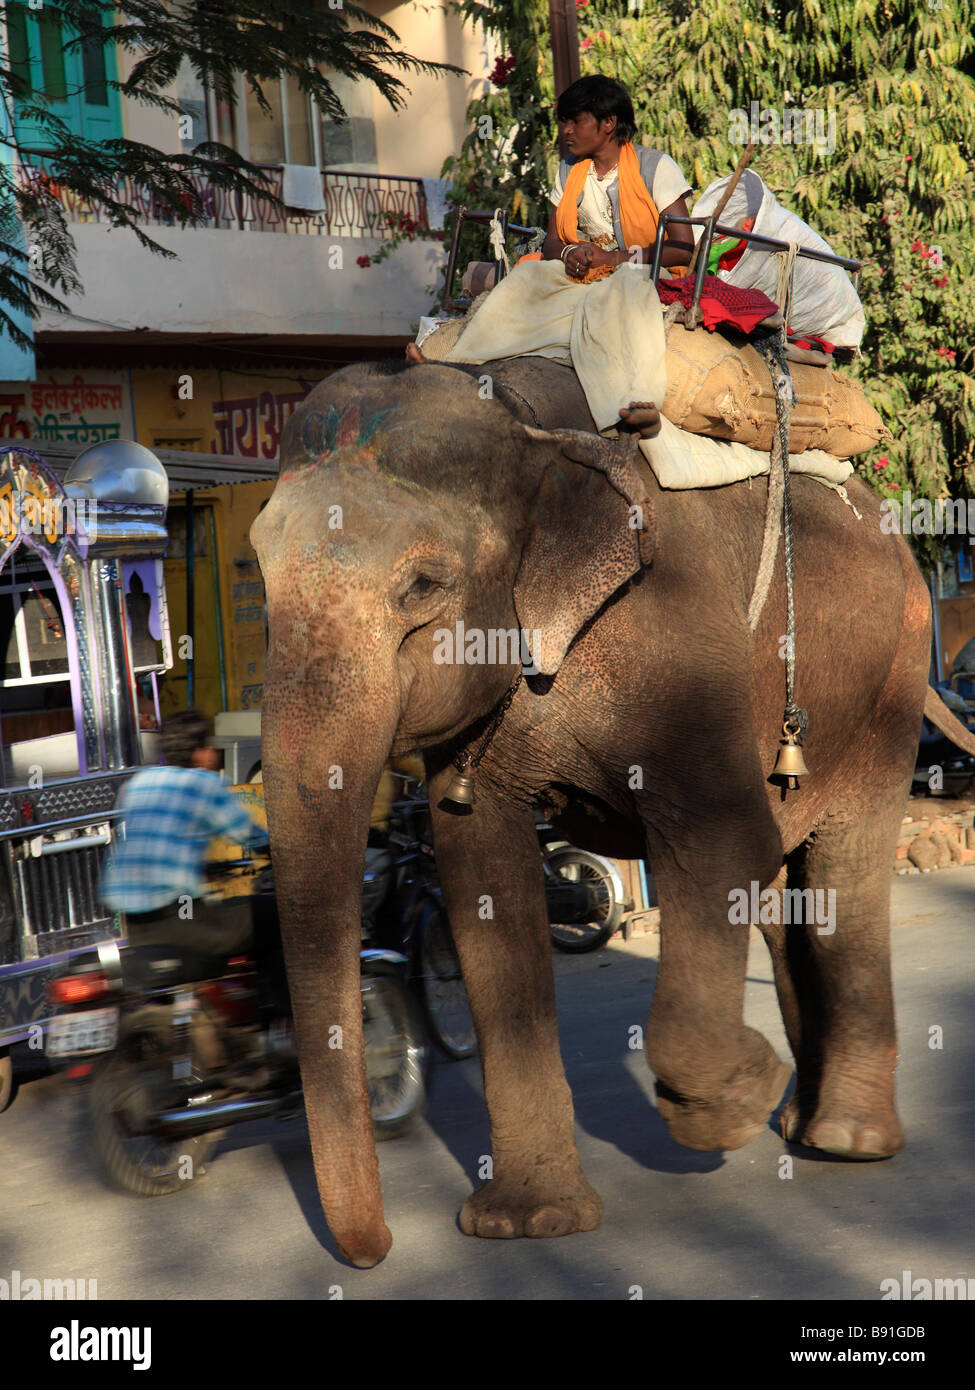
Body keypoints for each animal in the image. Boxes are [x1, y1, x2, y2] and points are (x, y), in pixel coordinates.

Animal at [250, 352, 933, 1269]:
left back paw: (844, 1139)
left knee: (841, 871)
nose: (374, 1250)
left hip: (894, 674)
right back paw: (800, 1120)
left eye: (421, 585)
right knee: (784, 886)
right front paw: (527, 1224)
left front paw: (736, 1098)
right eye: (257, 569)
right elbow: (478, 877)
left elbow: (721, 842)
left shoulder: (678, 635)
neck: (518, 424)